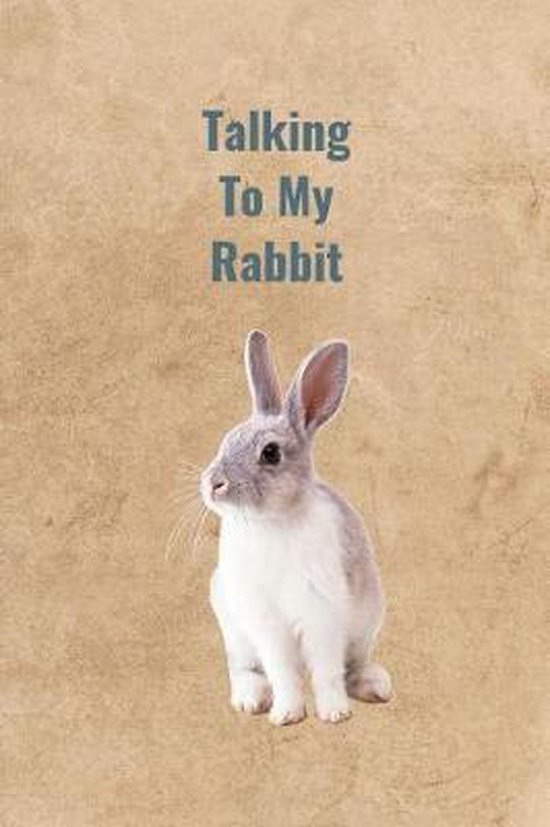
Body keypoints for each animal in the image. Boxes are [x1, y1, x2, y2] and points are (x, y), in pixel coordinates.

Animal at [200, 330, 392, 725]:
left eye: (271, 453)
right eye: (226, 439)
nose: (212, 484)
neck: (272, 521)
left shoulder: (322, 612)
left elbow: (326, 670)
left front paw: (334, 714)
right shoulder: (266, 622)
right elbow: (283, 671)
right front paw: (286, 714)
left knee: (351, 667)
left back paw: (375, 686)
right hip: (234, 630)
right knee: (244, 670)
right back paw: (251, 700)